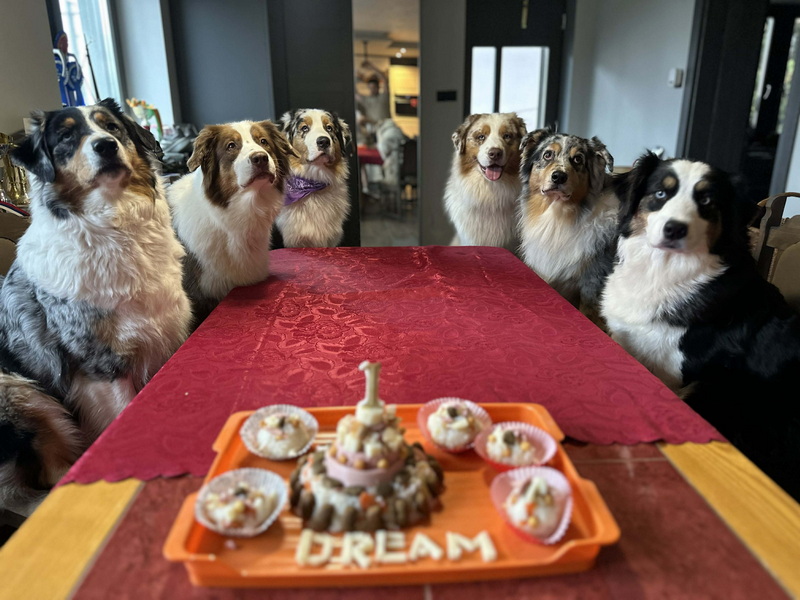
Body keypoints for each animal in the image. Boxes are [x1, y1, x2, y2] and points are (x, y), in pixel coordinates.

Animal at [2, 99, 191, 514]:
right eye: (66, 137)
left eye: (112, 128)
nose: (105, 146)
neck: (114, 223)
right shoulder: (100, 365)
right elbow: (123, 412)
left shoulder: (163, 336)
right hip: (22, 394)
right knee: (38, 482)